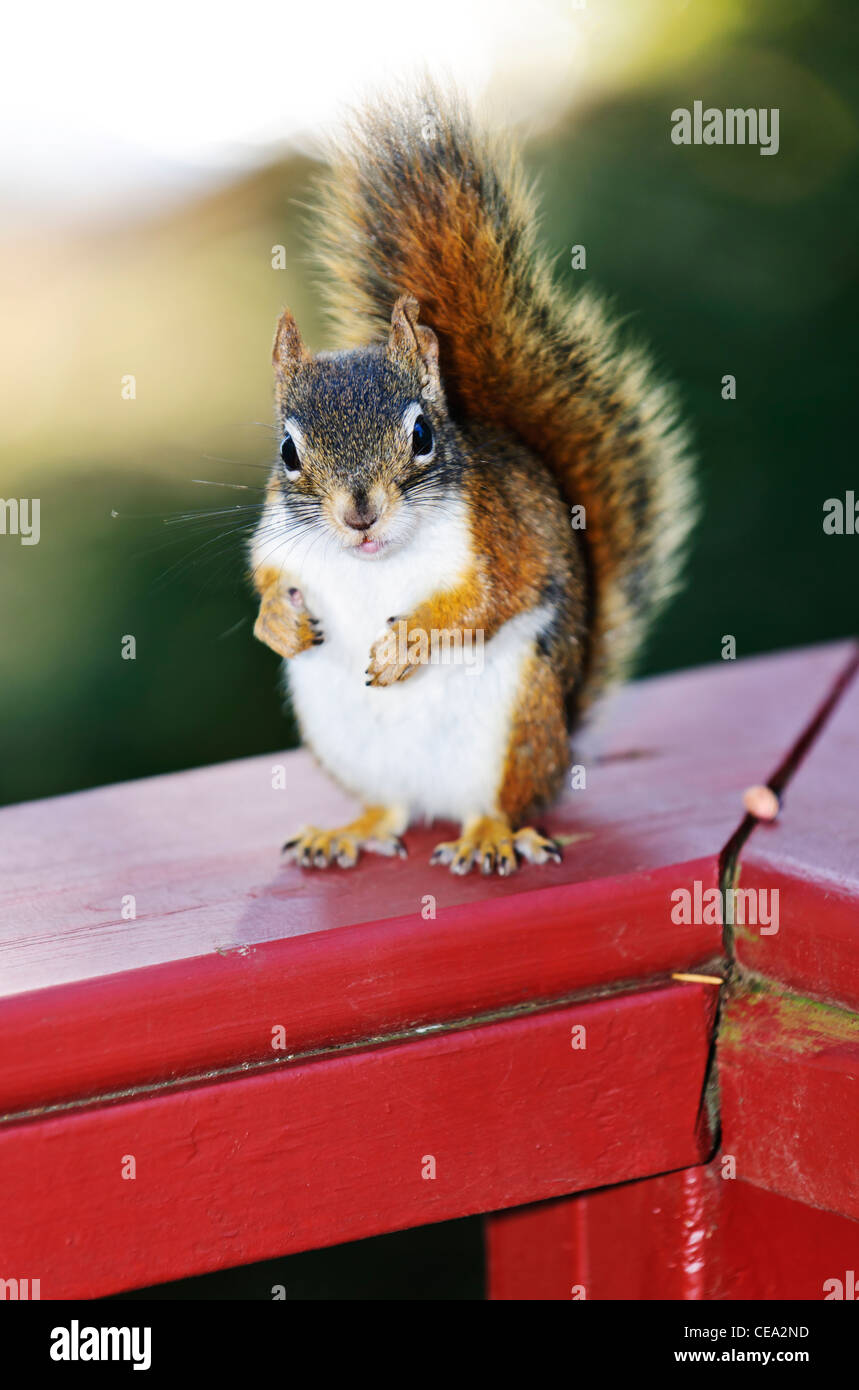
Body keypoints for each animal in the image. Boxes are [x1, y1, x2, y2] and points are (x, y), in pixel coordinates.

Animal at [250, 95, 692, 878]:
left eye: (423, 435)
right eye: (288, 450)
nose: (359, 515)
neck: (374, 562)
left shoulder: (499, 535)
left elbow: (489, 601)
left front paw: (406, 644)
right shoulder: (279, 539)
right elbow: (264, 581)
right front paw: (278, 622)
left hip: (518, 724)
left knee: (497, 802)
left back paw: (488, 837)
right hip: (347, 747)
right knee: (388, 810)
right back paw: (346, 831)